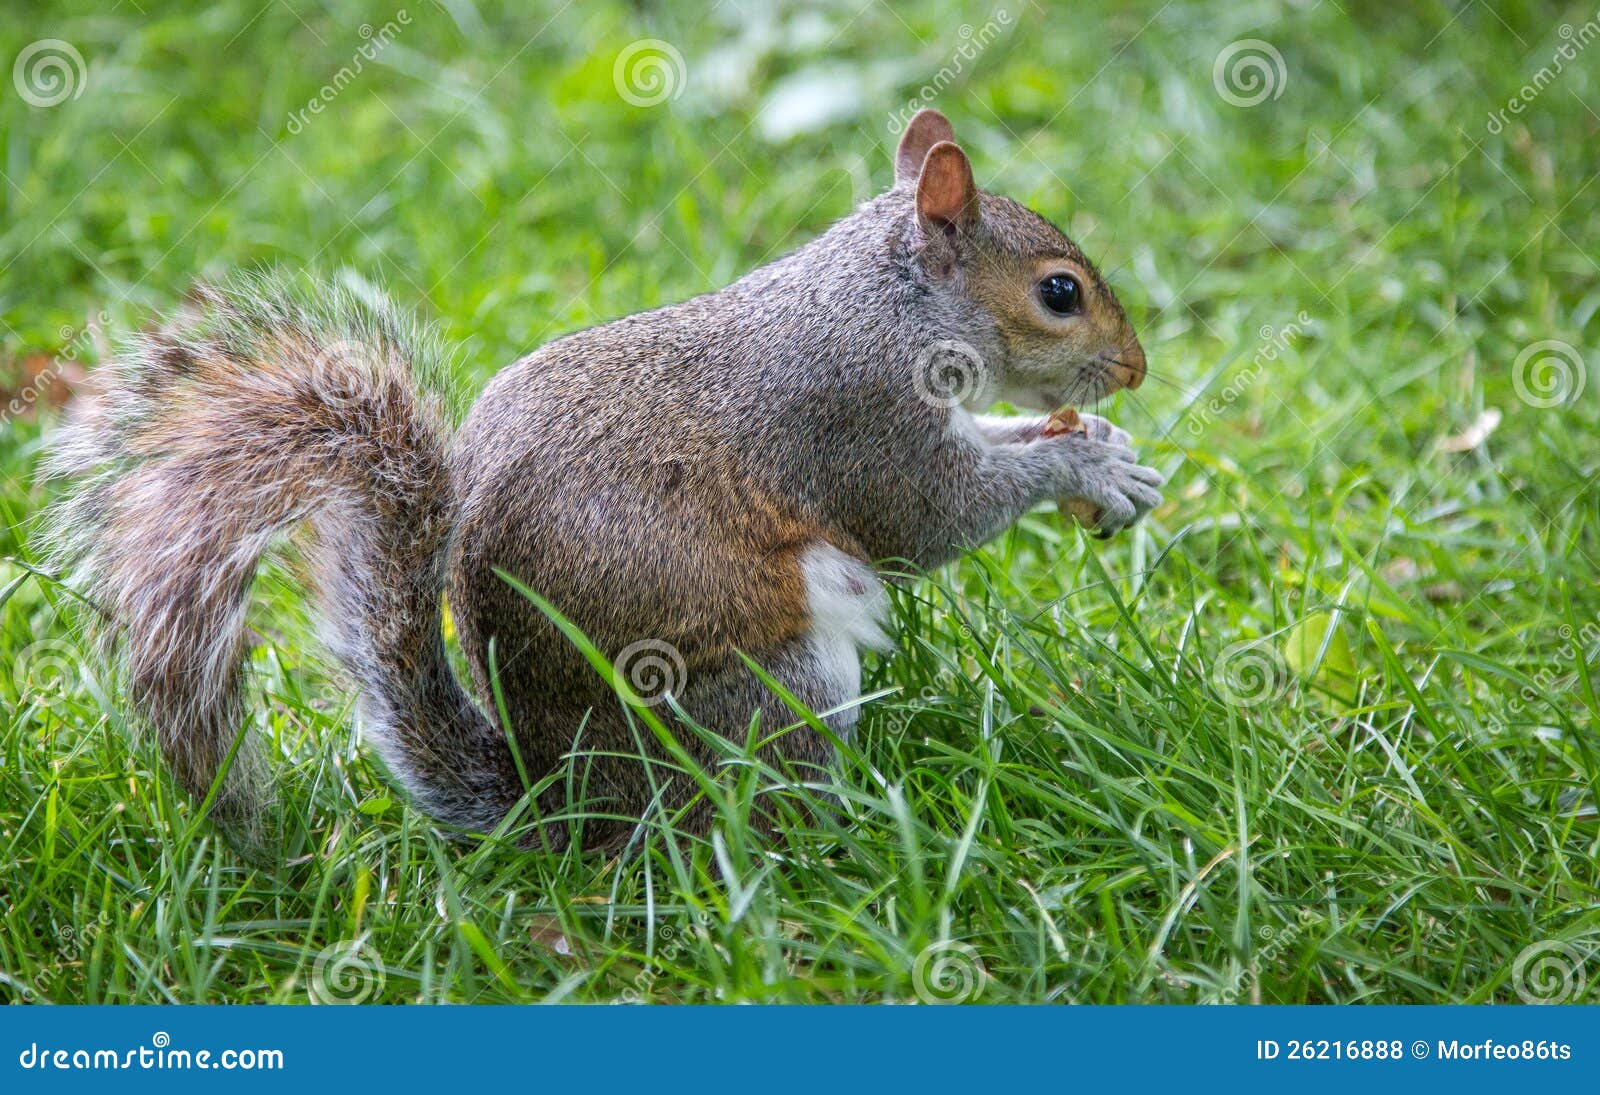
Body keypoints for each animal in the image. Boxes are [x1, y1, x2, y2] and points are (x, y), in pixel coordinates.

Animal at [43, 109, 1163, 849]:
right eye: (1059, 293)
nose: (1137, 369)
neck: (890, 300)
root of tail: (570, 800)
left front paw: (1101, 450)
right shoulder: (859, 416)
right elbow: (927, 519)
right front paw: (1081, 458)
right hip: (776, 692)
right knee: (750, 816)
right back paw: (849, 831)